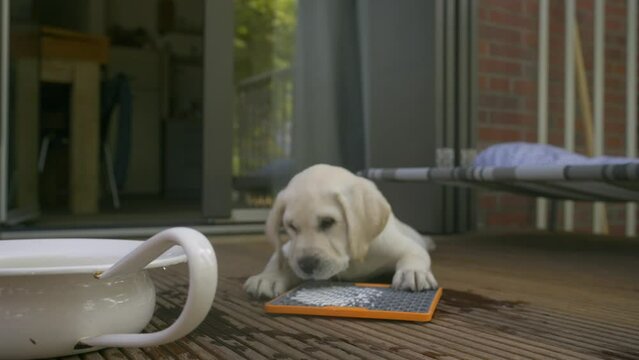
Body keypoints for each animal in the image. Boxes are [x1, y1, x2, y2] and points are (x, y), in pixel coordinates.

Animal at [242, 164, 438, 298]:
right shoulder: (289, 248)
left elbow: (415, 255)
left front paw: (412, 273)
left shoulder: (403, 246)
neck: (352, 259)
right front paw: (267, 277)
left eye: (327, 222)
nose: (306, 265)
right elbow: (277, 258)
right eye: (291, 226)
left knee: (421, 241)